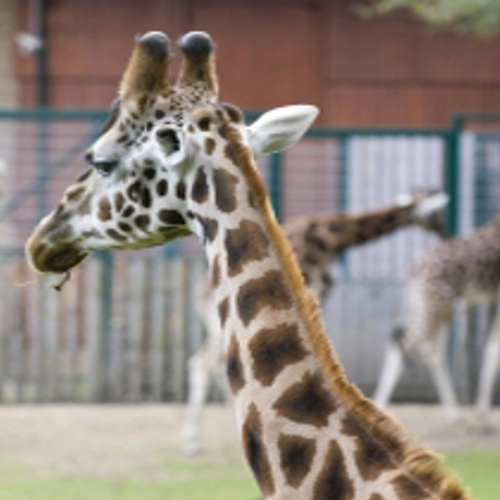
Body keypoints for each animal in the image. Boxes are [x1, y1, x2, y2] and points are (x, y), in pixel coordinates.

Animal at [184, 189, 450, 456]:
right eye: (437, 213)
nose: (444, 232)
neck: (333, 236)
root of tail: (199, 295)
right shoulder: (312, 292)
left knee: (213, 363)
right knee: (205, 362)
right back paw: (195, 440)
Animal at [374, 214, 500, 426]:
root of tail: (414, 271)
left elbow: (491, 348)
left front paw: (481, 413)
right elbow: (494, 348)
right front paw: (482, 414)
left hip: (426, 306)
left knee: (421, 347)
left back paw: (454, 414)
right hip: (438, 305)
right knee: (409, 343)